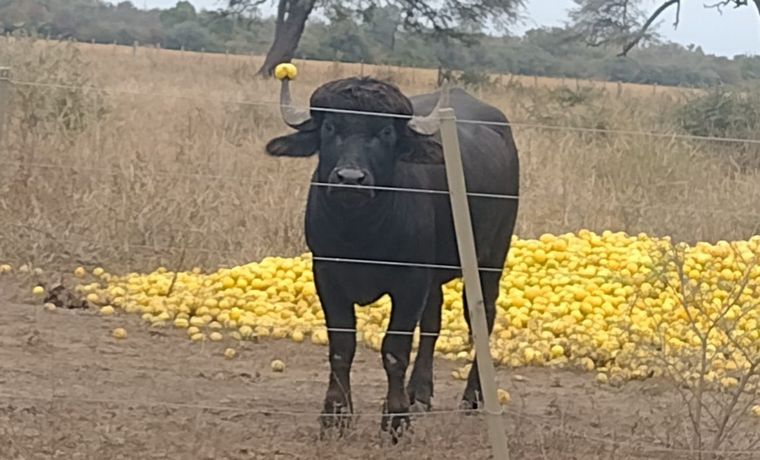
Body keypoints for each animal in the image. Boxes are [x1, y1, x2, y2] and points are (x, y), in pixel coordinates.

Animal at [264, 75, 520, 438]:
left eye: (385, 132)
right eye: (330, 126)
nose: (350, 180)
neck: (360, 232)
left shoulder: (410, 281)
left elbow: (395, 350)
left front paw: (396, 420)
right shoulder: (326, 275)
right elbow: (341, 346)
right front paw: (335, 416)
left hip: (491, 257)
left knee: (483, 317)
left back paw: (471, 397)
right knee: (432, 323)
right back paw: (420, 393)